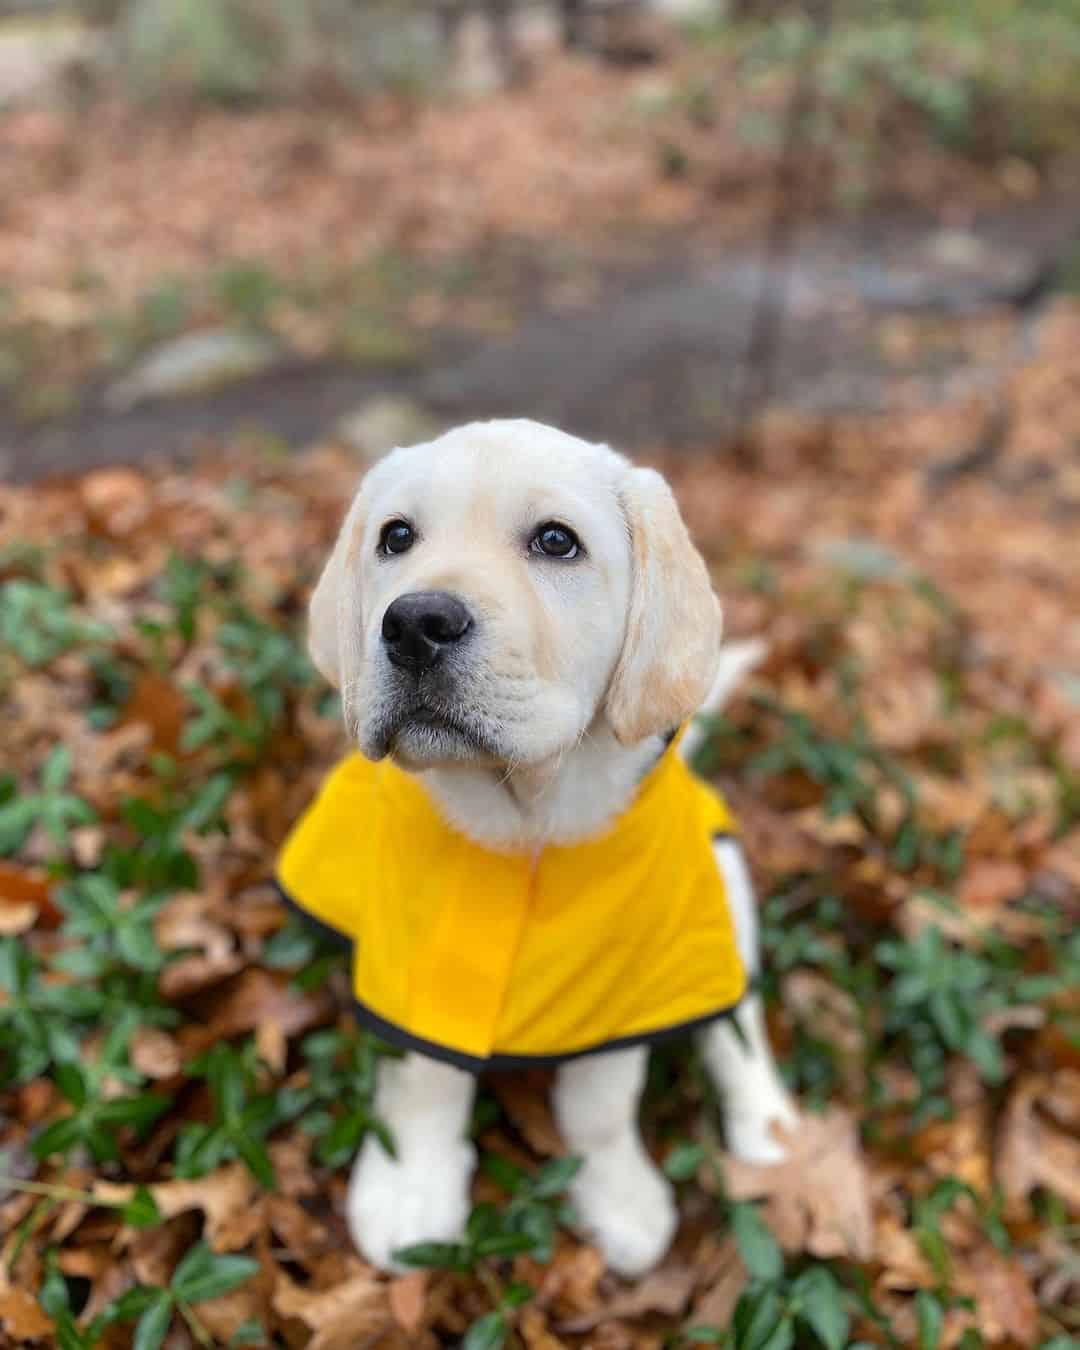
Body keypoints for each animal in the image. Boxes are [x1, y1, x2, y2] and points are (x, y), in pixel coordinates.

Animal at [282, 421, 799, 1274]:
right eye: (397, 538)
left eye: (557, 542)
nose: (414, 624)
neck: (523, 821)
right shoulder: (409, 956)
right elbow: (422, 1083)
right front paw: (410, 1193)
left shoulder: (625, 980)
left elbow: (602, 1101)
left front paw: (619, 1196)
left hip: (722, 883)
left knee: (738, 1022)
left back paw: (771, 1126)